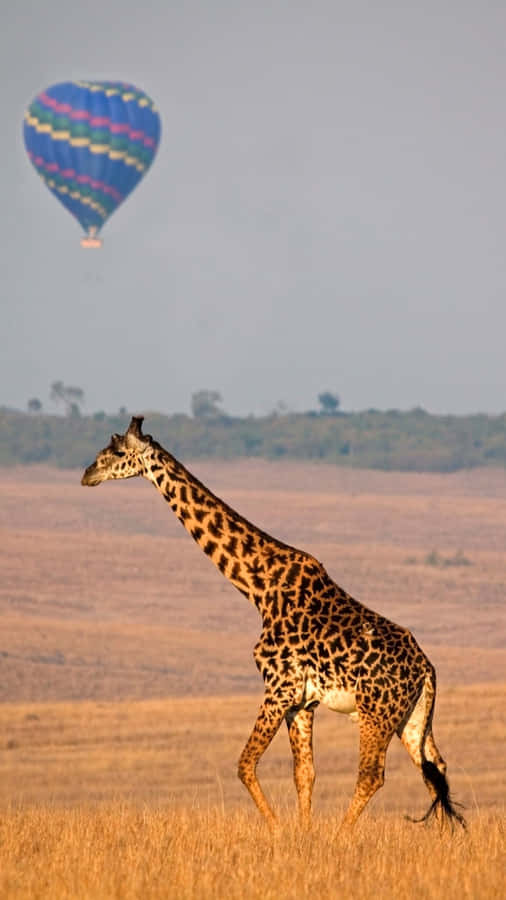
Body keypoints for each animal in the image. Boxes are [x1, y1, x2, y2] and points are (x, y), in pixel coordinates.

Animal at [81, 416, 465, 830]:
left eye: (117, 451)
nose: (87, 474)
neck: (259, 588)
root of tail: (426, 670)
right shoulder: (302, 700)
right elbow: (305, 773)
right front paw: (302, 832)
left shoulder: (278, 686)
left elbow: (245, 764)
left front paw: (280, 830)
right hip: (412, 718)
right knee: (435, 769)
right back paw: (444, 839)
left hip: (374, 714)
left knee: (372, 774)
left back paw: (341, 836)